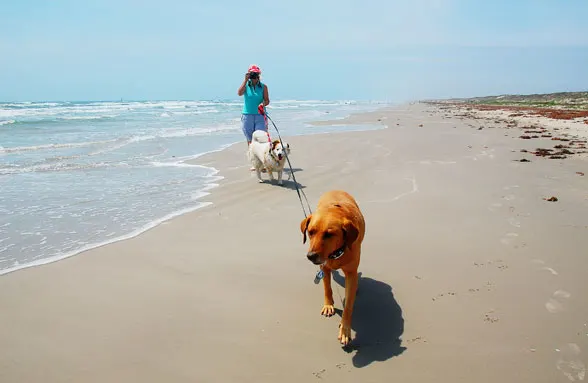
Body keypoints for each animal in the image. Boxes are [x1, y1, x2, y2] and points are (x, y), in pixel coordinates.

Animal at [300, 190, 366, 346]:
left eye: (329, 234)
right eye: (310, 232)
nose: (311, 256)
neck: (336, 252)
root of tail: (336, 189)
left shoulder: (351, 272)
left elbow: (348, 305)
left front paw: (345, 329)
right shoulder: (324, 269)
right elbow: (327, 288)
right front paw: (328, 305)